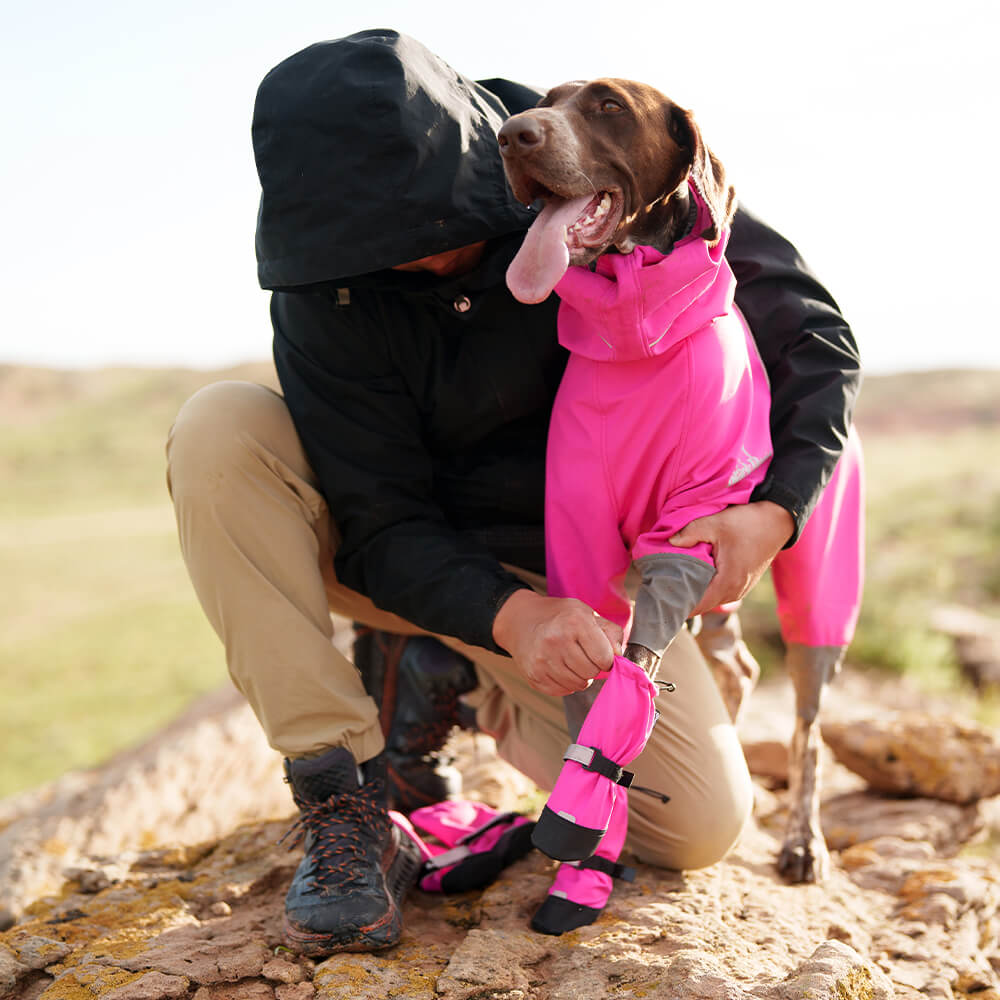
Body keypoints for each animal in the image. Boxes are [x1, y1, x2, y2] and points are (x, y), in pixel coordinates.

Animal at [496, 80, 864, 892]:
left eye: (607, 105)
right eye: (548, 98)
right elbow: (591, 681)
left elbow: (635, 666)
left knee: (809, 722)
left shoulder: (692, 534)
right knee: (739, 669)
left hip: (810, 574)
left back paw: (802, 840)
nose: (512, 134)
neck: (635, 335)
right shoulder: (578, 537)